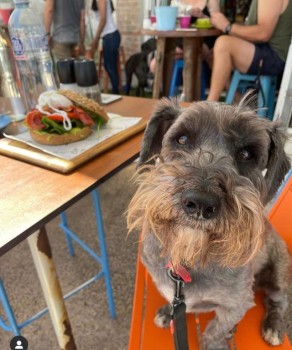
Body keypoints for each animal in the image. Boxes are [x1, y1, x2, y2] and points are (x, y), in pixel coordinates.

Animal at [128, 98, 292, 350]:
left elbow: (216, 330)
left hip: (279, 275)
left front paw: (217, 342)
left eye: (246, 153)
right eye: (182, 139)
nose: (200, 202)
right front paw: (167, 312)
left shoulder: (236, 304)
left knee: (279, 302)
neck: (191, 257)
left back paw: (273, 326)